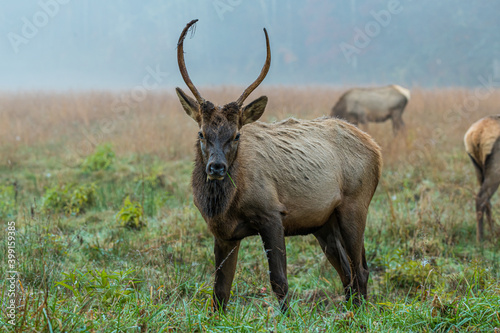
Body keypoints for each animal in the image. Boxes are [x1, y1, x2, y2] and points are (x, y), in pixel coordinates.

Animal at [176, 20, 382, 312]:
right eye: (202, 133)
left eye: (236, 135)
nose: (216, 168)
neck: (226, 205)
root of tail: (376, 149)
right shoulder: (223, 233)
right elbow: (220, 292)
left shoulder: (272, 214)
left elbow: (279, 282)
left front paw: (288, 317)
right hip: (324, 222)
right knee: (346, 271)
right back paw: (349, 311)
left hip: (356, 203)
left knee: (361, 269)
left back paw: (360, 313)